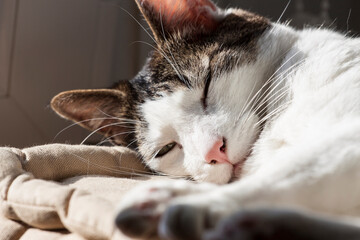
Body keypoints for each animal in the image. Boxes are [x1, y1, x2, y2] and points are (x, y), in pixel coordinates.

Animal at [51, 0, 360, 240]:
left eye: (207, 86)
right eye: (165, 149)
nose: (215, 151)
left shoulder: (347, 140)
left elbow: (295, 172)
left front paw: (200, 204)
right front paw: (171, 195)